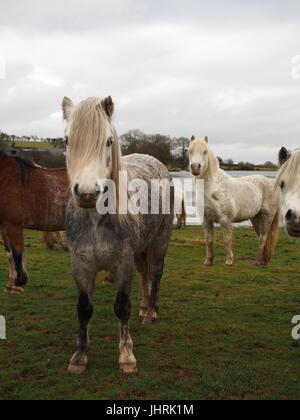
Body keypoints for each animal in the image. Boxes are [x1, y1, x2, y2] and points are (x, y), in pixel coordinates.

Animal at [0, 153, 69, 294]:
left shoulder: (13, 226)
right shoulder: (4, 226)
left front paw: (19, 284)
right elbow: (10, 254)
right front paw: (10, 284)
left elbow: (18, 254)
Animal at [190, 136, 278, 264]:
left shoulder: (225, 219)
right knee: (261, 237)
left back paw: (257, 262)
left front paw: (229, 261)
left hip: (267, 216)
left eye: (205, 151)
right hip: (256, 218)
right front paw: (208, 261)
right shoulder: (206, 220)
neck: (212, 188)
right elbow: (209, 240)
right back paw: (262, 262)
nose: (195, 168)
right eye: (190, 151)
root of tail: (271, 183)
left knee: (263, 238)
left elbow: (227, 239)